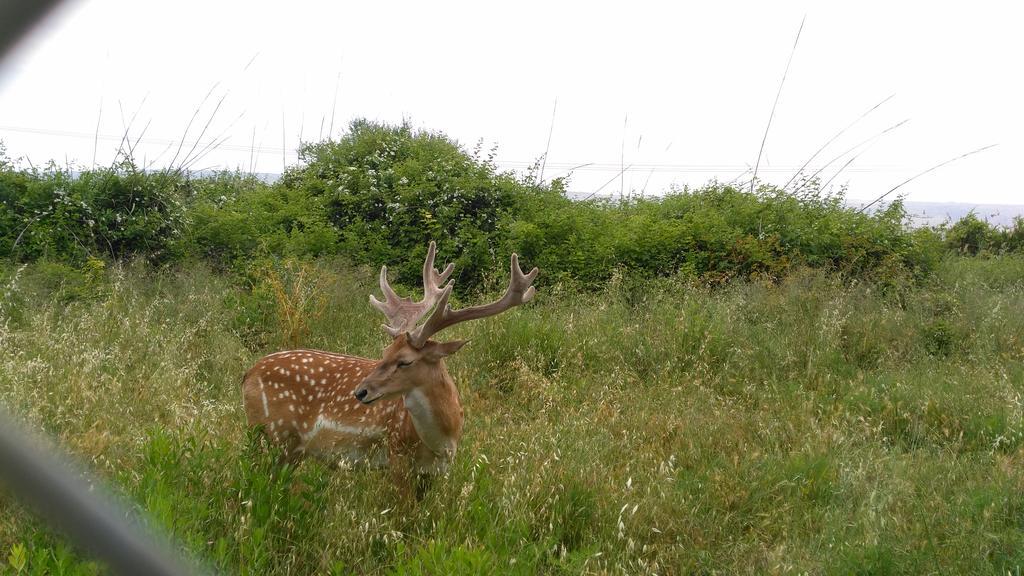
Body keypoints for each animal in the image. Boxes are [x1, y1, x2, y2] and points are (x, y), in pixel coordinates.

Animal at [238, 239, 536, 485]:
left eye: (404, 361)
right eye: (384, 352)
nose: (360, 391)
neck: (442, 440)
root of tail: (248, 374)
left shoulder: (438, 472)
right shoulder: (396, 456)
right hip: (277, 435)